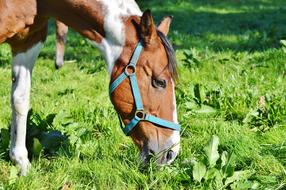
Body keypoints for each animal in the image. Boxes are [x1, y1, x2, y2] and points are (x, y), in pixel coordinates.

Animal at [0, 0, 181, 176]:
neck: (40, 3)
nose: (171, 152)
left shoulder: (29, 41)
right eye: (160, 82)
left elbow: (20, 100)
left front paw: (21, 162)